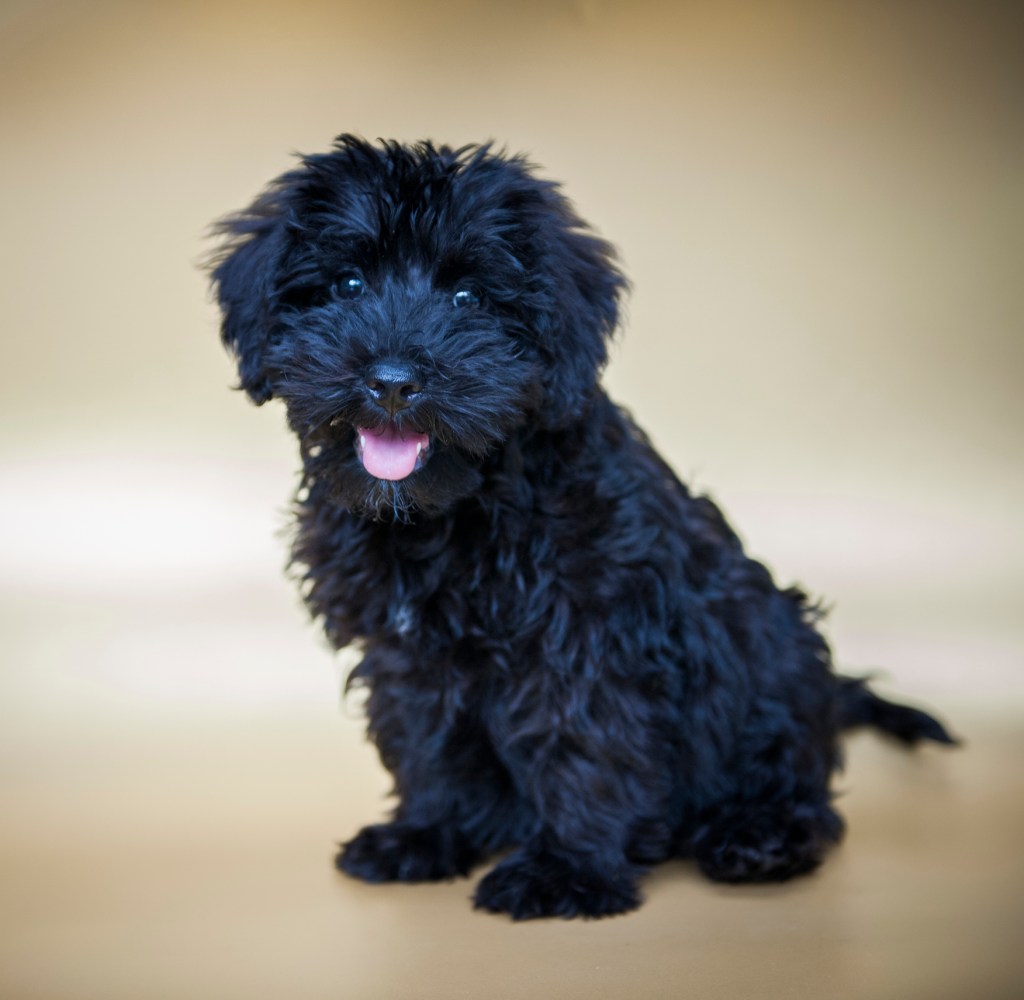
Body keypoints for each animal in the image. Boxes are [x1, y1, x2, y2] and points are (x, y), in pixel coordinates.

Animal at [211, 135, 954, 921]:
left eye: (469, 298)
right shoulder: (405, 654)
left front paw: (565, 870)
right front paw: (428, 836)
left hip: (773, 650)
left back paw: (761, 834)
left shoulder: (587, 641)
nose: (391, 381)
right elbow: (427, 744)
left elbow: (583, 746)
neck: (447, 515)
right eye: (348, 284)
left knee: (801, 787)